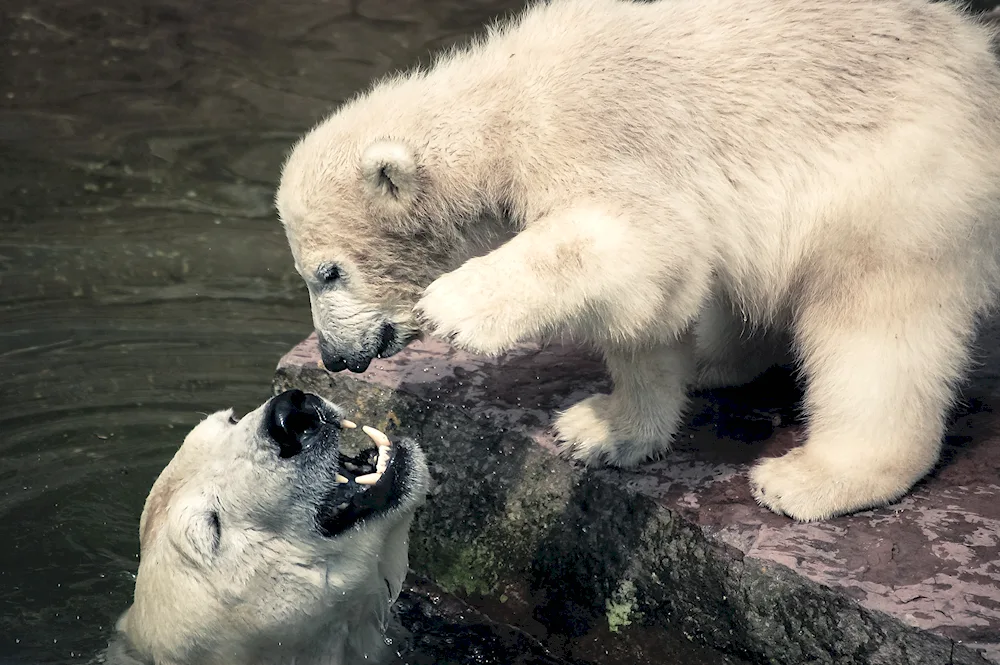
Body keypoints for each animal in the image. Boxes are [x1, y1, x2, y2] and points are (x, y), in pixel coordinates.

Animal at [272, 0, 1000, 520]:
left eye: (328, 272)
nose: (334, 357)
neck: (504, 103)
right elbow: (649, 313)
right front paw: (602, 428)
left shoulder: (601, 140)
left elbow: (637, 245)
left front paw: (460, 304)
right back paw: (714, 359)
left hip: (895, 188)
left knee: (875, 328)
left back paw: (814, 480)